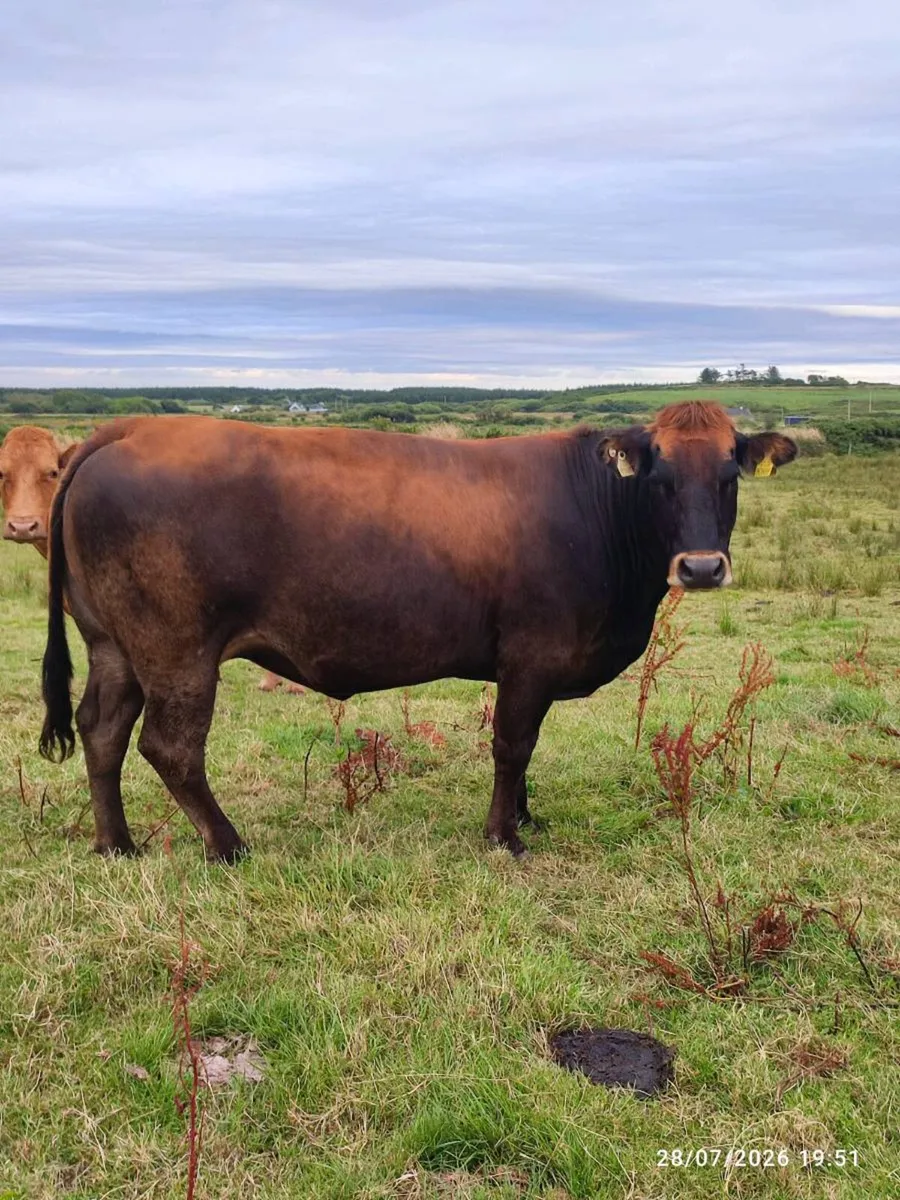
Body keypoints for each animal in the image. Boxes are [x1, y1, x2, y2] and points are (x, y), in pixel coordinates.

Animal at [38, 402, 796, 862]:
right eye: (659, 474)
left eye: (729, 474)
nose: (701, 566)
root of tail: (129, 428)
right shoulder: (532, 654)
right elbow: (513, 745)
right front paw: (504, 837)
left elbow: (526, 747)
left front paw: (525, 818)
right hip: (177, 652)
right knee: (170, 747)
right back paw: (227, 845)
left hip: (114, 646)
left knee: (102, 731)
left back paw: (117, 844)